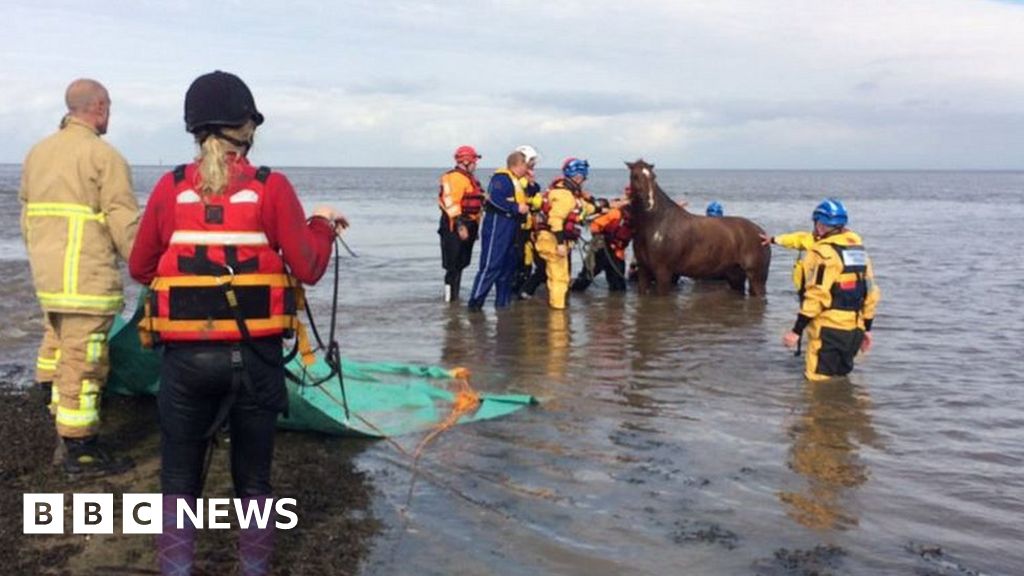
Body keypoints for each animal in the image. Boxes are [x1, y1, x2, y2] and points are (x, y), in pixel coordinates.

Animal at [626, 159, 770, 296]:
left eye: (654, 176)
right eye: (635, 176)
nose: (649, 202)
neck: (657, 222)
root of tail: (762, 233)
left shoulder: (663, 273)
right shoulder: (643, 271)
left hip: (757, 278)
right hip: (736, 276)